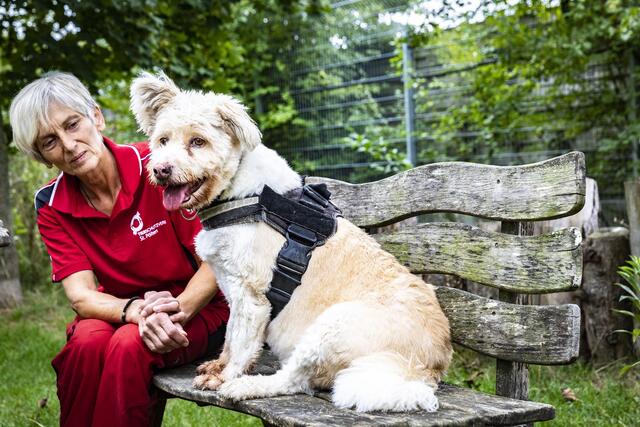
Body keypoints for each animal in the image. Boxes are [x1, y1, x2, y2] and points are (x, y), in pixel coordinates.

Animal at [129, 72, 450, 412]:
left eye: (198, 141)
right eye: (163, 140)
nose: (161, 169)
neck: (246, 195)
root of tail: (427, 369)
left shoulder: (252, 298)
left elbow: (242, 343)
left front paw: (225, 376)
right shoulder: (232, 290)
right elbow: (230, 337)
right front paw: (218, 365)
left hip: (331, 326)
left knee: (293, 380)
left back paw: (245, 386)